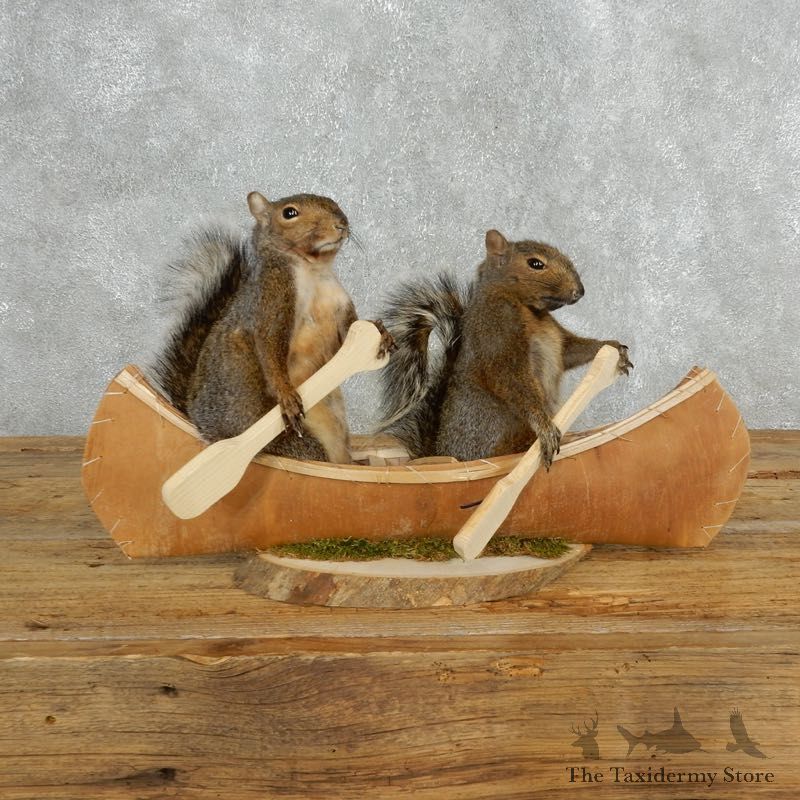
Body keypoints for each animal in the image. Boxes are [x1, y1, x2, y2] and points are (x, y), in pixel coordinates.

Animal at [150, 190, 391, 464]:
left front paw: (380, 332)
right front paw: (286, 395)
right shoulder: (272, 301)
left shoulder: (337, 304)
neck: (313, 270)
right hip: (297, 444)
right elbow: (270, 349)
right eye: (289, 213)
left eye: (335, 204)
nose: (340, 224)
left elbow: (347, 341)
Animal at [378, 229, 632, 466]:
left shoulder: (558, 340)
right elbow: (512, 381)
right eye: (535, 263)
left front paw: (613, 348)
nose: (579, 291)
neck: (529, 309)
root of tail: (442, 455)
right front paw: (545, 427)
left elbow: (572, 351)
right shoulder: (498, 334)